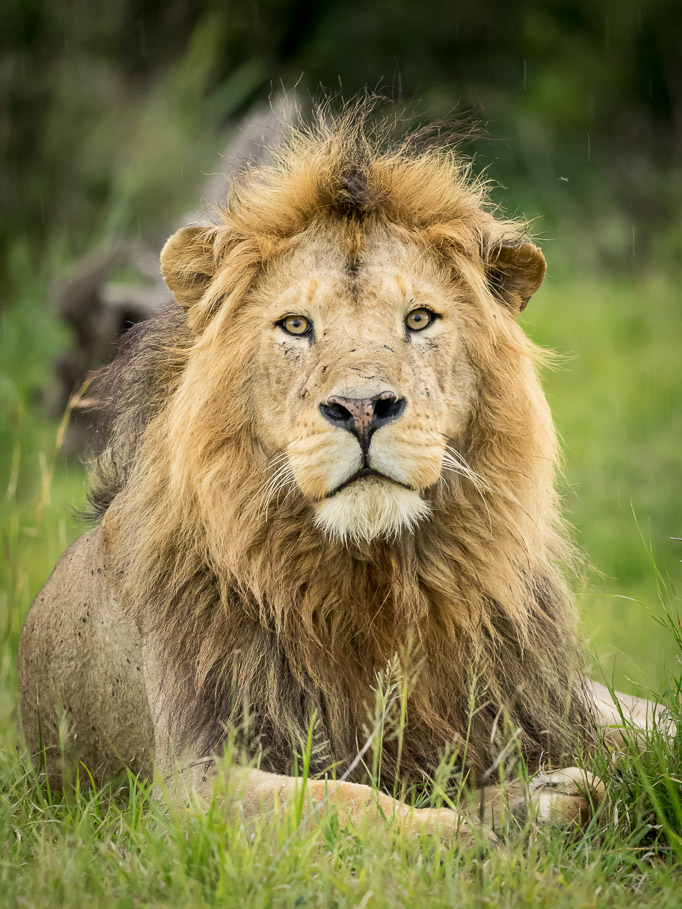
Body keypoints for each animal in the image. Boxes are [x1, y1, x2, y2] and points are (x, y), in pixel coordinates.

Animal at [18, 107, 651, 843]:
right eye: (296, 325)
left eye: (418, 319)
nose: (363, 408)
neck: (376, 579)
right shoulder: (191, 780)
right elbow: (350, 802)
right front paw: (502, 821)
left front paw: (539, 798)